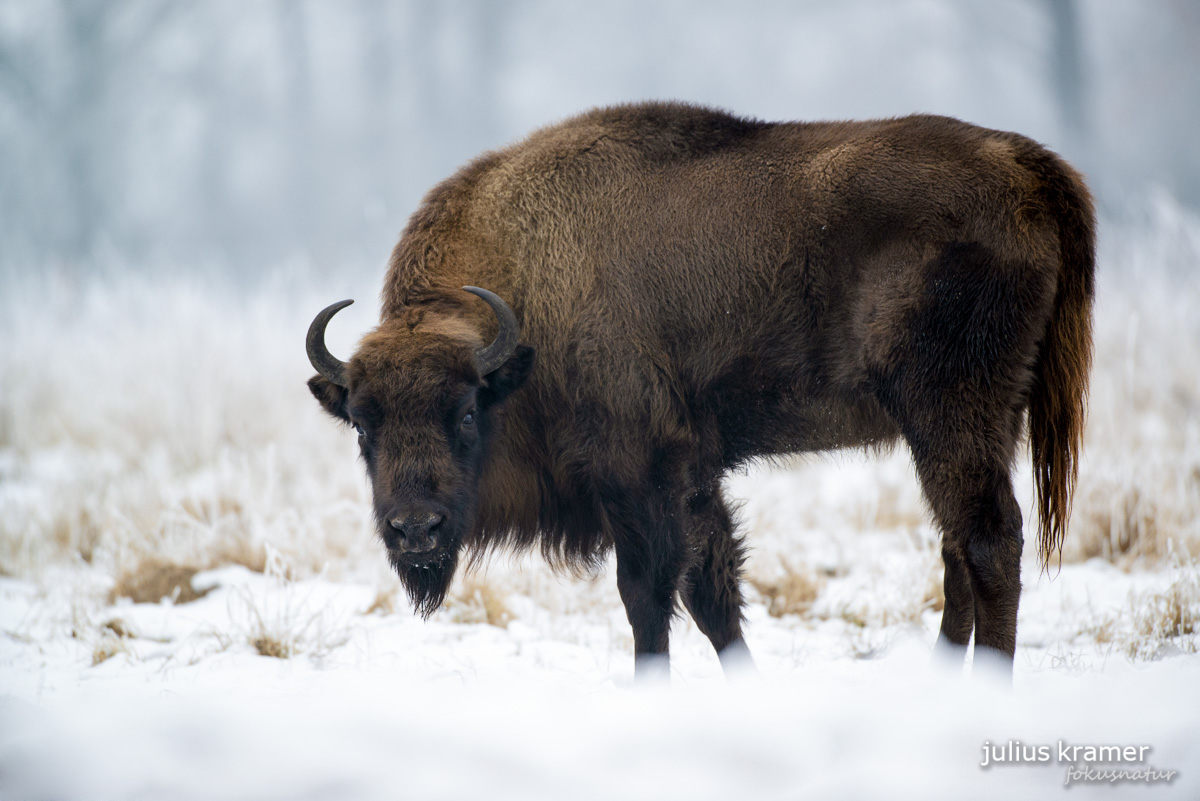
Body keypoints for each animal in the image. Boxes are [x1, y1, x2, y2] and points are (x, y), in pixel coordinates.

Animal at [304, 98, 1094, 676]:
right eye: (363, 425)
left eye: (467, 411)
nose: (414, 529)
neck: (524, 303)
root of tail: (1024, 164)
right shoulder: (692, 474)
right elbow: (713, 594)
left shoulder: (637, 472)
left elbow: (647, 596)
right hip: (979, 424)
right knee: (957, 545)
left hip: (950, 416)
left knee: (988, 541)